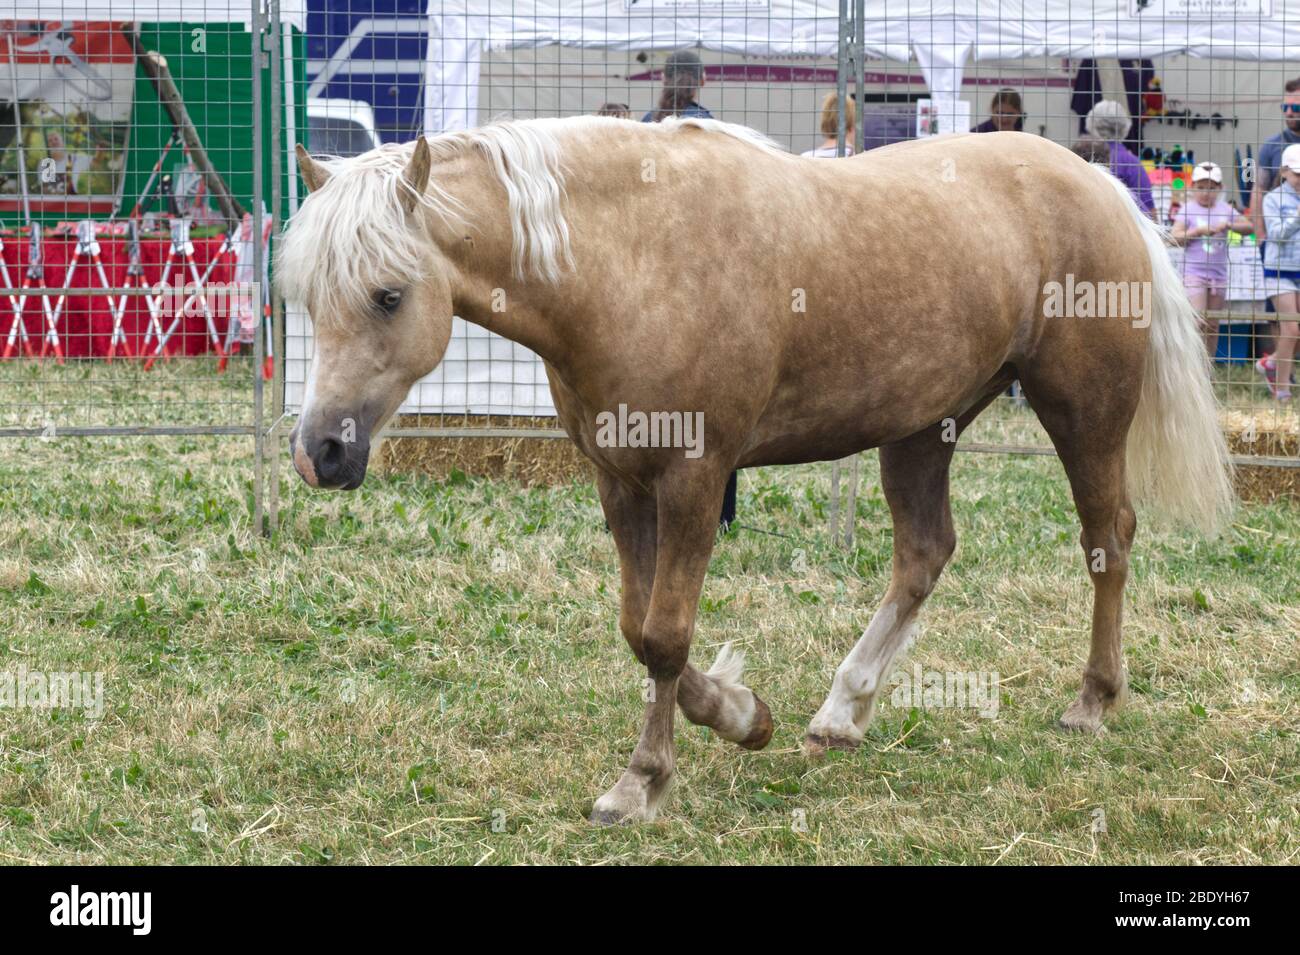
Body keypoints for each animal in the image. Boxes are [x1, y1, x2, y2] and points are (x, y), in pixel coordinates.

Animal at [276, 116, 1233, 825]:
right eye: (308, 300)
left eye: (389, 295)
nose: (321, 451)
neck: (631, 260)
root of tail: (1101, 185)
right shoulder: (621, 482)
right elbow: (637, 627)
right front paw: (744, 714)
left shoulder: (695, 479)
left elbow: (665, 635)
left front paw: (646, 778)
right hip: (923, 428)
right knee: (924, 554)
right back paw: (842, 711)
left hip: (1083, 414)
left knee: (1107, 539)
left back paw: (1092, 700)